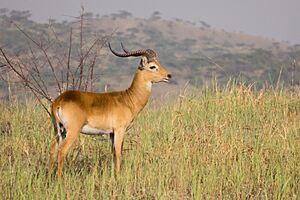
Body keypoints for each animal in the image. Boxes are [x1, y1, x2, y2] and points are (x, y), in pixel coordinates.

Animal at [48, 42, 172, 180]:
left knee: (52, 149)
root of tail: (59, 101)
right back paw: (59, 180)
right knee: (62, 150)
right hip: (72, 131)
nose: (168, 75)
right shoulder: (119, 130)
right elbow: (118, 153)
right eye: (152, 66)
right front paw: (118, 177)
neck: (128, 99)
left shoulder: (111, 133)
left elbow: (113, 153)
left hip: (59, 130)